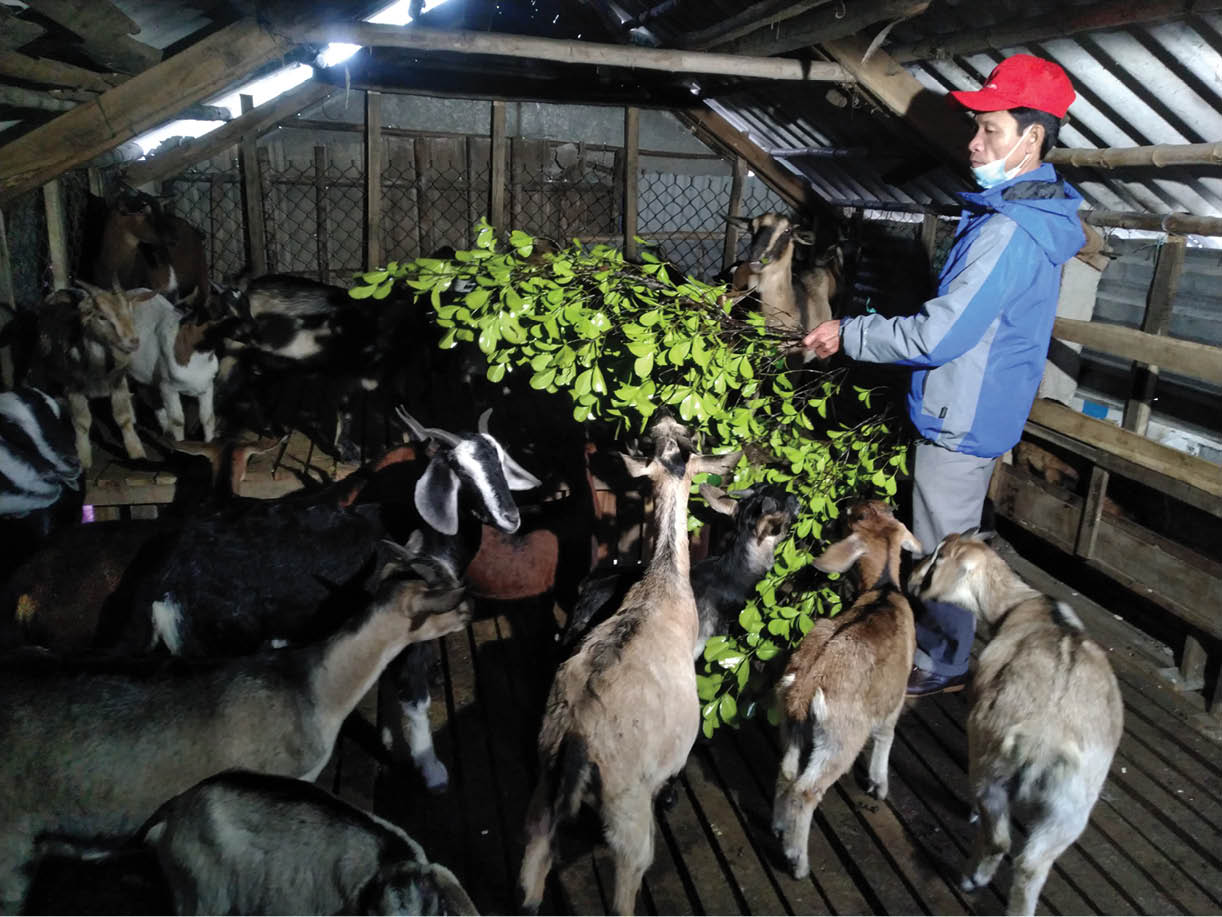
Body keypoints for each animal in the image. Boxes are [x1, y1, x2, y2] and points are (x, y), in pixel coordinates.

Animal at [36, 282, 147, 468]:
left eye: (130, 313)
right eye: (102, 317)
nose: (134, 341)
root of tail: (62, 290)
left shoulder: (118, 382)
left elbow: (123, 418)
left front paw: (137, 452)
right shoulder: (73, 387)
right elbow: (82, 423)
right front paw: (84, 459)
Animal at [519, 415, 741, 916]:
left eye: (668, 438)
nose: (666, 416)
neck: (662, 582)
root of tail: (574, 743)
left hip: (541, 792)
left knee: (530, 872)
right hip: (627, 808)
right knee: (627, 879)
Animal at [772, 500, 922, 880]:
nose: (840, 512)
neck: (883, 591)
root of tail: (806, 686)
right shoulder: (894, 696)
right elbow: (886, 736)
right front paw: (879, 785)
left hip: (792, 723)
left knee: (787, 772)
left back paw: (779, 828)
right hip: (840, 737)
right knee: (806, 791)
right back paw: (797, 861)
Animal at [908, 529, 1124, 916]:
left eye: (936, 558)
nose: (912, 572)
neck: (1025, 604)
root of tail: (1044, 741)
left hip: (993, 769)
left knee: (999, 840)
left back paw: (972, 877)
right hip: (1072, 805)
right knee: (1031, 864)